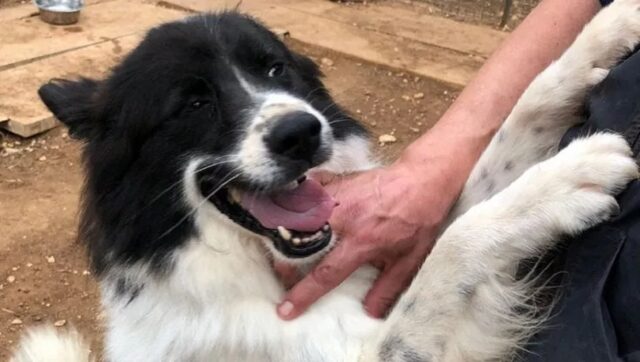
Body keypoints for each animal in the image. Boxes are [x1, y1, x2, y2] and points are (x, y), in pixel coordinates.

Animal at [8, 1, 640, 360]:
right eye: (194, 102)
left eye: (274, 68)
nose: (301, 132)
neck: (257, 263)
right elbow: (452, 252)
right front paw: (564, 182)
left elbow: (515, 124)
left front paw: (604, 31)